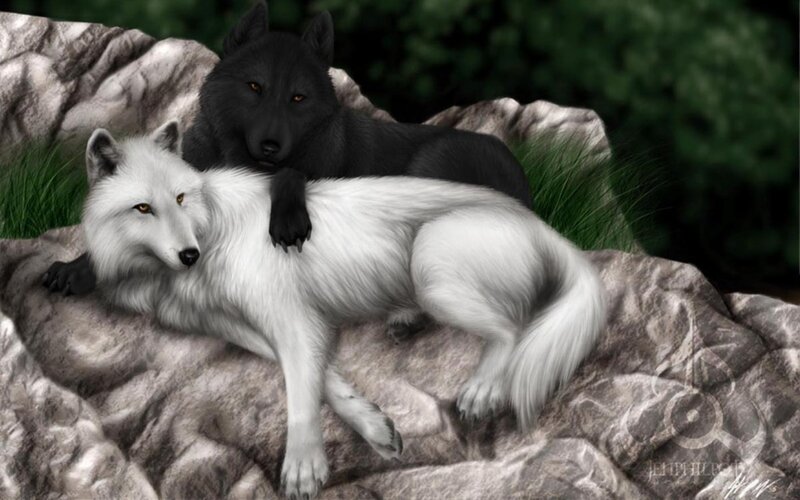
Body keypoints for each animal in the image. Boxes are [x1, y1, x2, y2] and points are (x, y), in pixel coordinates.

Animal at [44, 1, 532, 342]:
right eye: (254, 87)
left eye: (298, 98)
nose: (271, 146)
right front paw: (75, 268)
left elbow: (292, 175)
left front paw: (288, 219)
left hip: (429, 171)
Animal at [82, 122, 606, 498]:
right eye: (143, 208)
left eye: (180, 198)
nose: (189, 255)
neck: (211, 227)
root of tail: (542, 225)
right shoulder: (245, 327)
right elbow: (324, 378)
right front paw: (374, 426)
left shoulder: (291, 319)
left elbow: (300, 391)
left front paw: (303, 467)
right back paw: (405, 321)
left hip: (431, 262)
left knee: (513, 328)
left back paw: (481, 391)